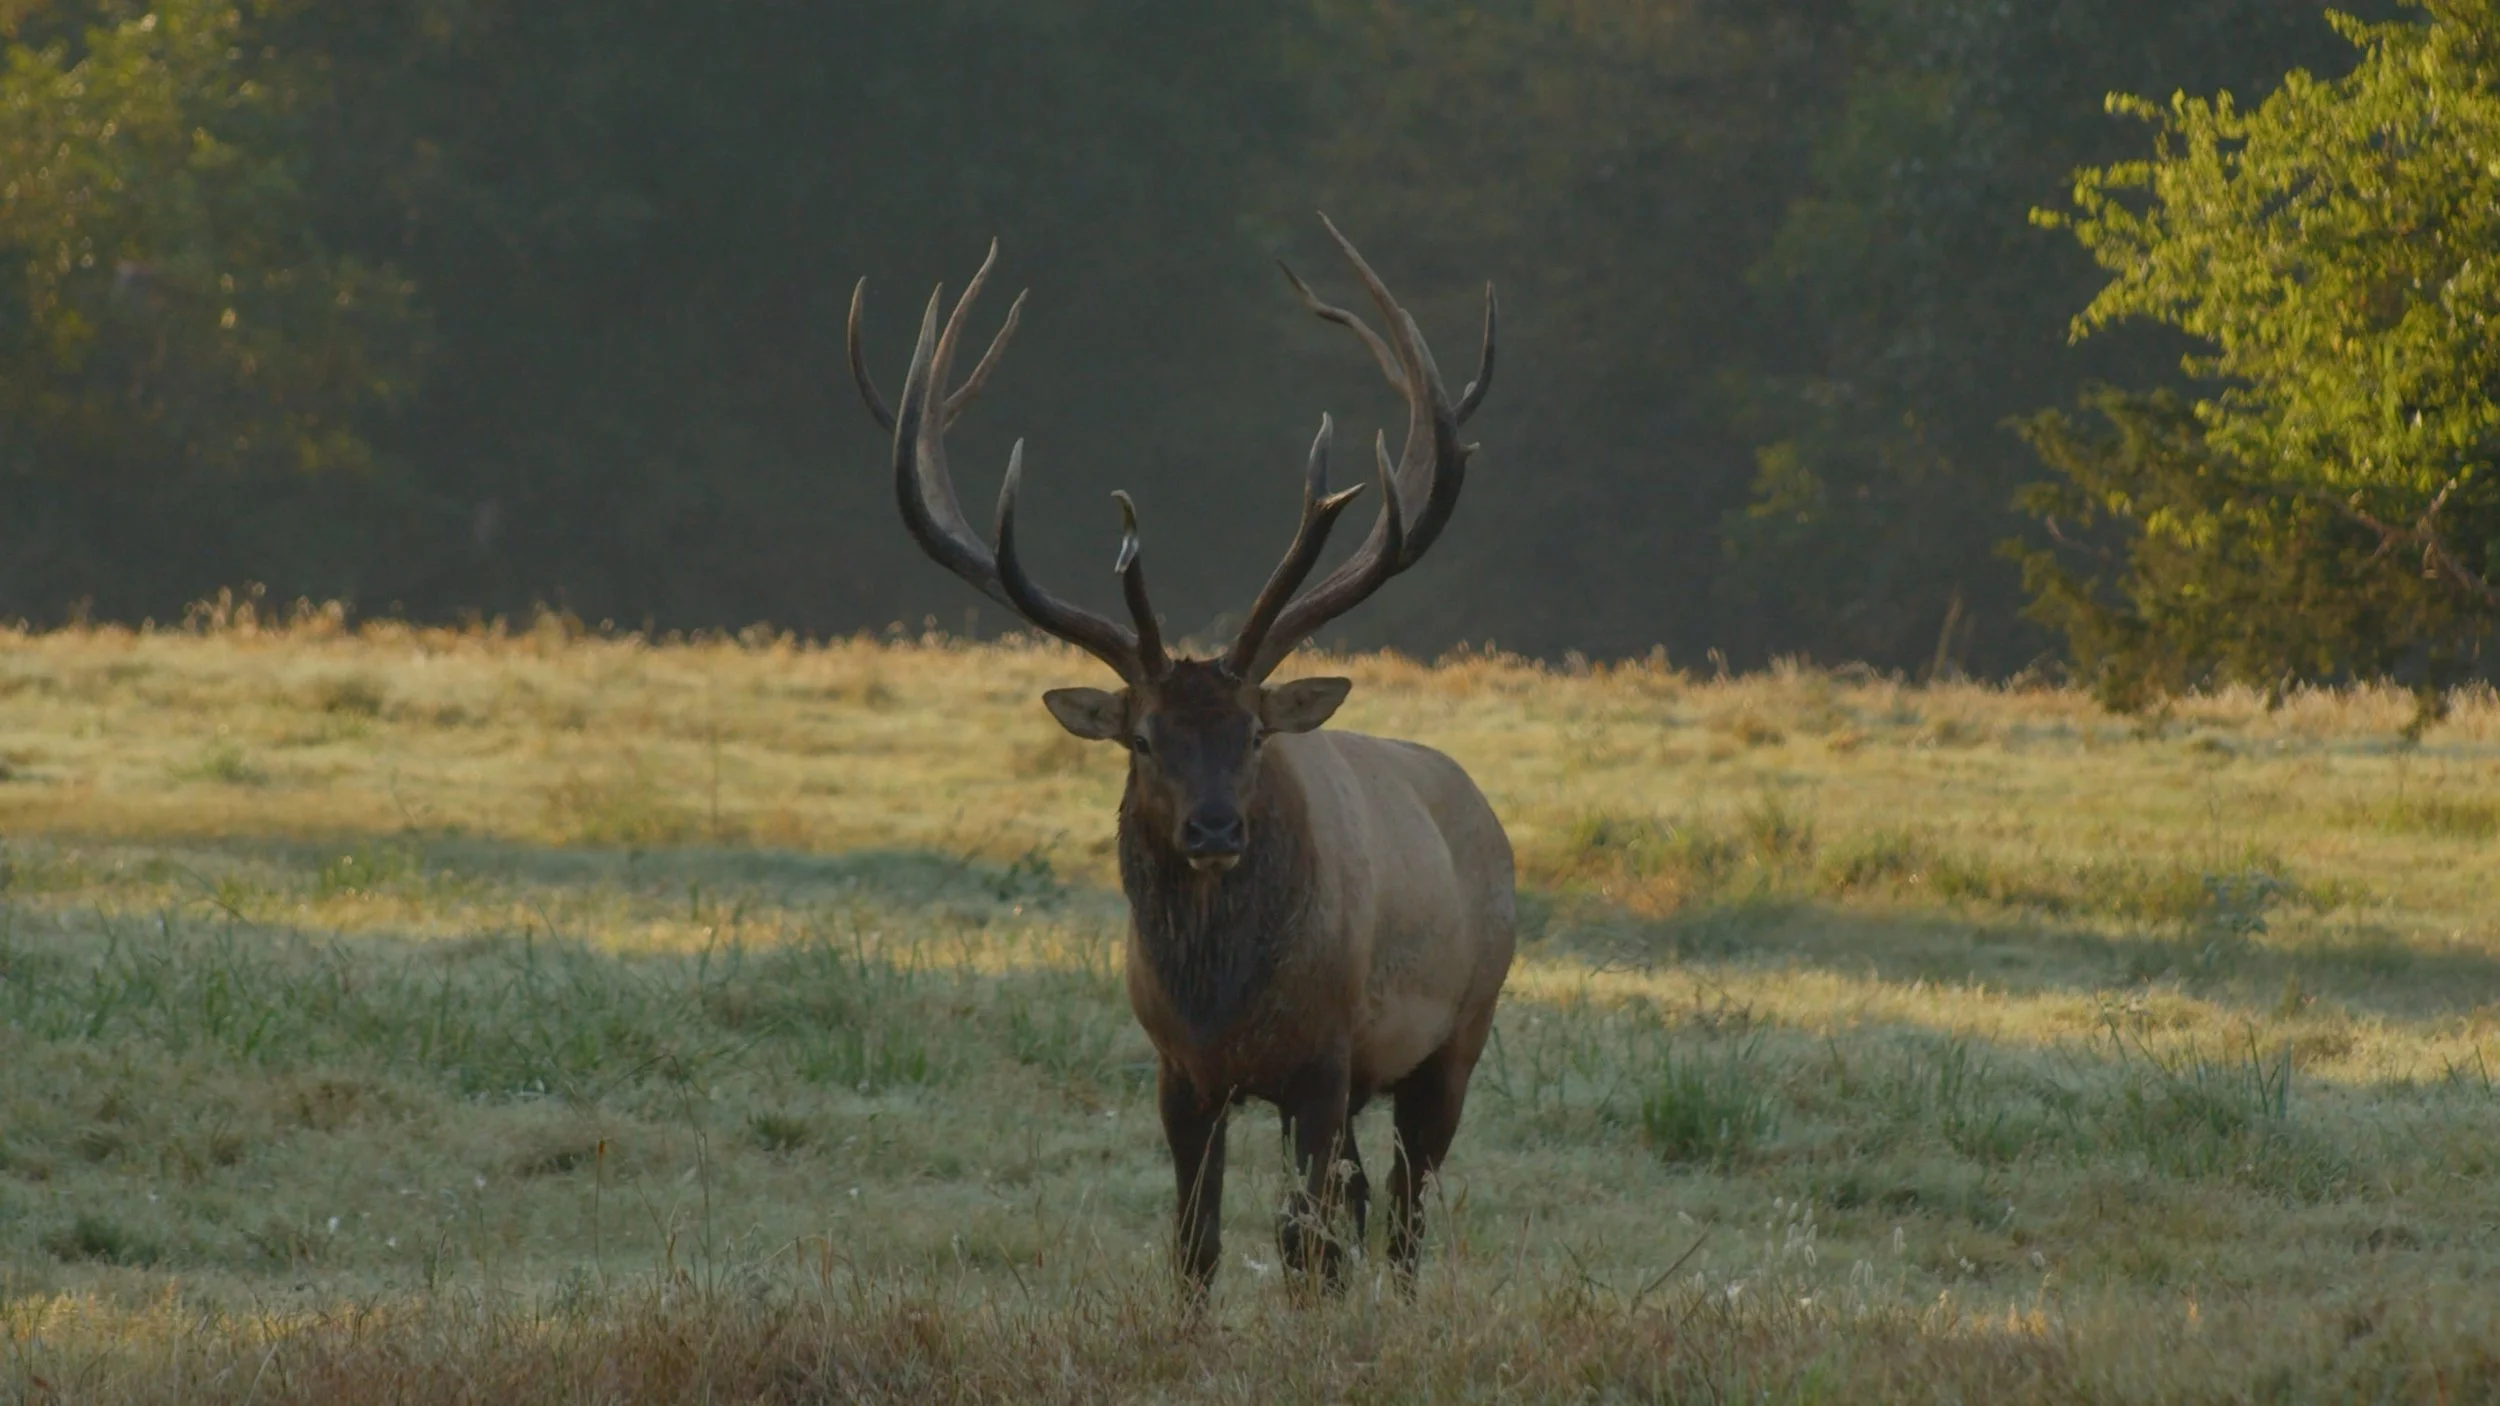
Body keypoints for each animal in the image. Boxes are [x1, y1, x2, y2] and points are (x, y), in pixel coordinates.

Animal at [845, 217, 1513, 1298]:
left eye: (1253, 734)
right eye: (1146, 738)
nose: (1212, 828)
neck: (1221, 1004)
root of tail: (1478, 805)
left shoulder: (1323, 1058)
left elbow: (1299, 1237)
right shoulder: (1175, 1070)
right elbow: (1194, 1243)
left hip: (1457, 1033)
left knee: (1405, 1212)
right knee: (1365, 1206)